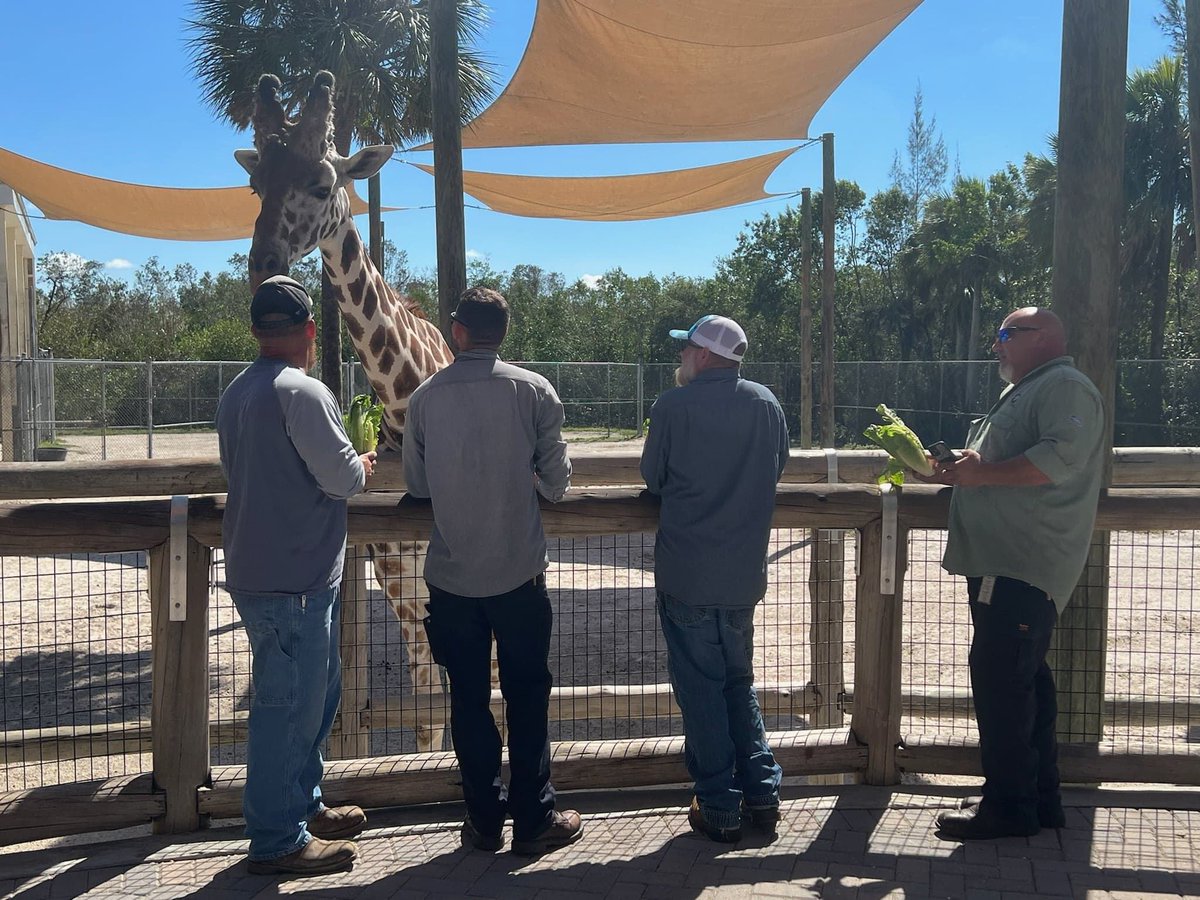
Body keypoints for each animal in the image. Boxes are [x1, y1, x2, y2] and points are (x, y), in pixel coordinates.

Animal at [234, 68, 487, 753]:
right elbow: (426, 701)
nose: (263, 265)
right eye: (255, 184)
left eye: (323, 184)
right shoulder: (397, 571)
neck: (403, 403)